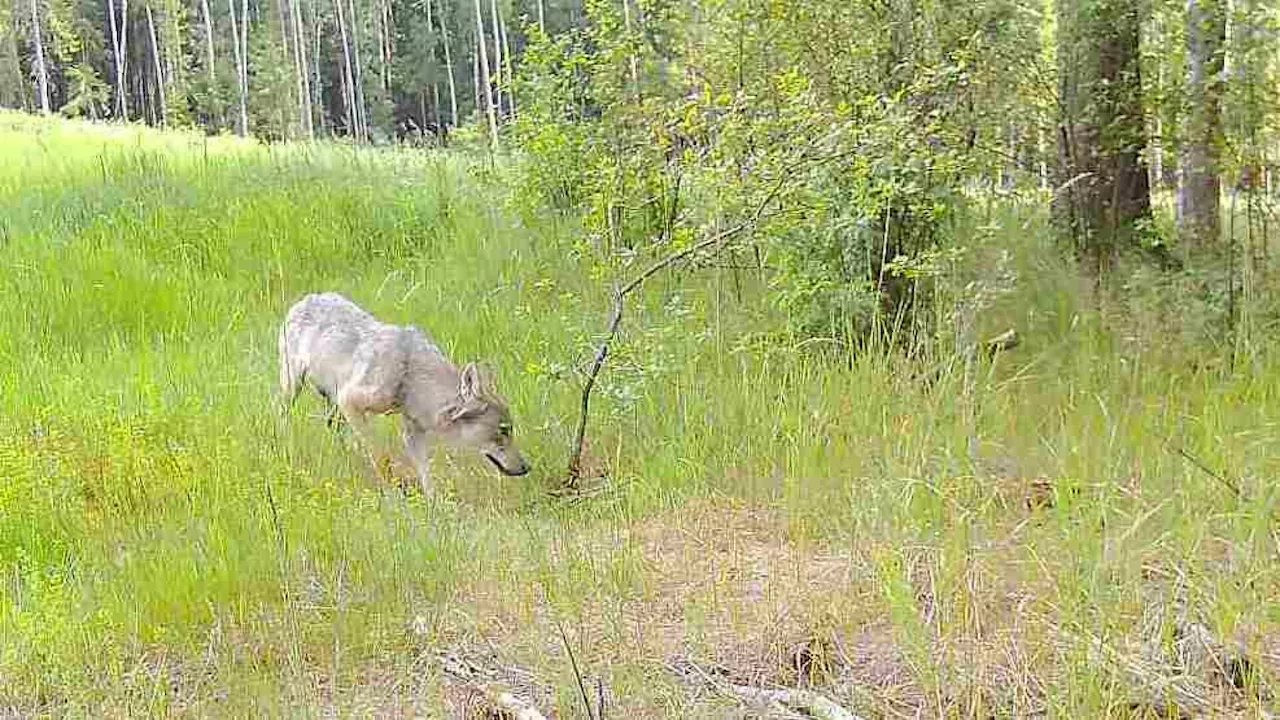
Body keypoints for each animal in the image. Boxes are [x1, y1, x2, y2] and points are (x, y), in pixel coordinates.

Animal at [277, 288, 527, 489]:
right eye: (503, 431)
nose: (527, 468)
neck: (410, 376)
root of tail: (306, 298)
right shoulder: (350, 400)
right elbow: (382, 457)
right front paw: (395, 492)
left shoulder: (413, 432)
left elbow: (427, 477)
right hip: (295, 388)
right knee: (283, 416)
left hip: (334, 404)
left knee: (333, 427)